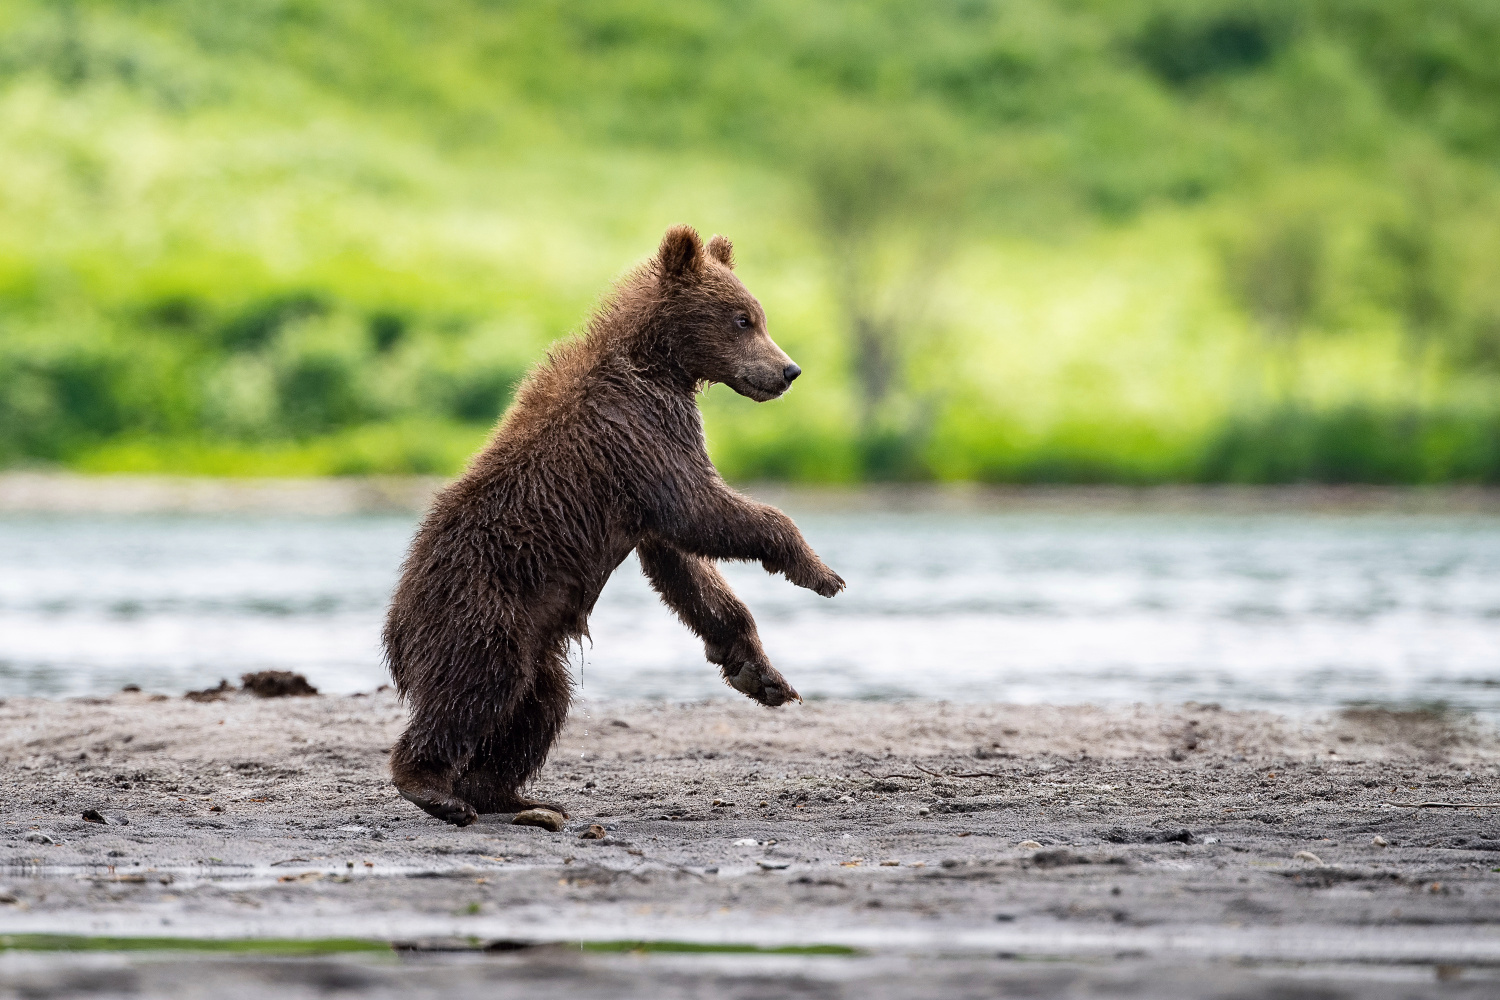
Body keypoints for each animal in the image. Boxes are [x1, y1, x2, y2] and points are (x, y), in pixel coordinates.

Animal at [381, 226, 846, 827]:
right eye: (742, 319)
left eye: (758, 315)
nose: (788, 371)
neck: (660, 364)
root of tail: (396, 630)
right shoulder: (639, 431)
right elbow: (701, 510)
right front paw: (819, 571)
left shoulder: (639, 480)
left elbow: (682, 564)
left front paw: (761, 674)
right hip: (480, 606)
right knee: (476, 689)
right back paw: (434, 789)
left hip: (533, 639)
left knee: (538, 706)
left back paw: (514, 796)